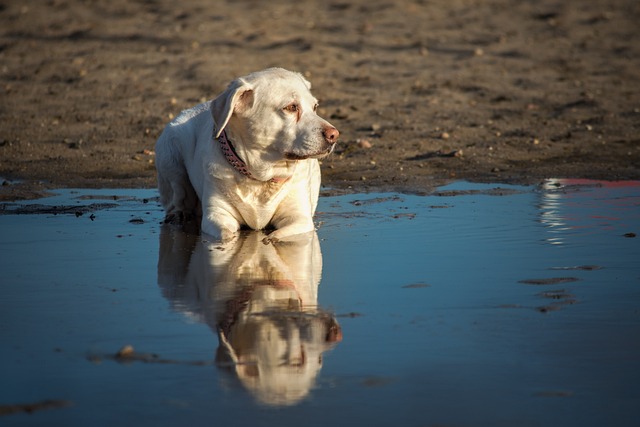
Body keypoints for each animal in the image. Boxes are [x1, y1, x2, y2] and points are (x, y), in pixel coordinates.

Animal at [156, 66, 340, 241]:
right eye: (291, 107)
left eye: (315, 107)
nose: (334, 135)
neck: (261, 178)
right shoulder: (217, 215)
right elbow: (226, 236)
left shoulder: (299, 218)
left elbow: (278, 236)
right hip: (170, 155)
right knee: (176, 199)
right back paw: (178, 215)